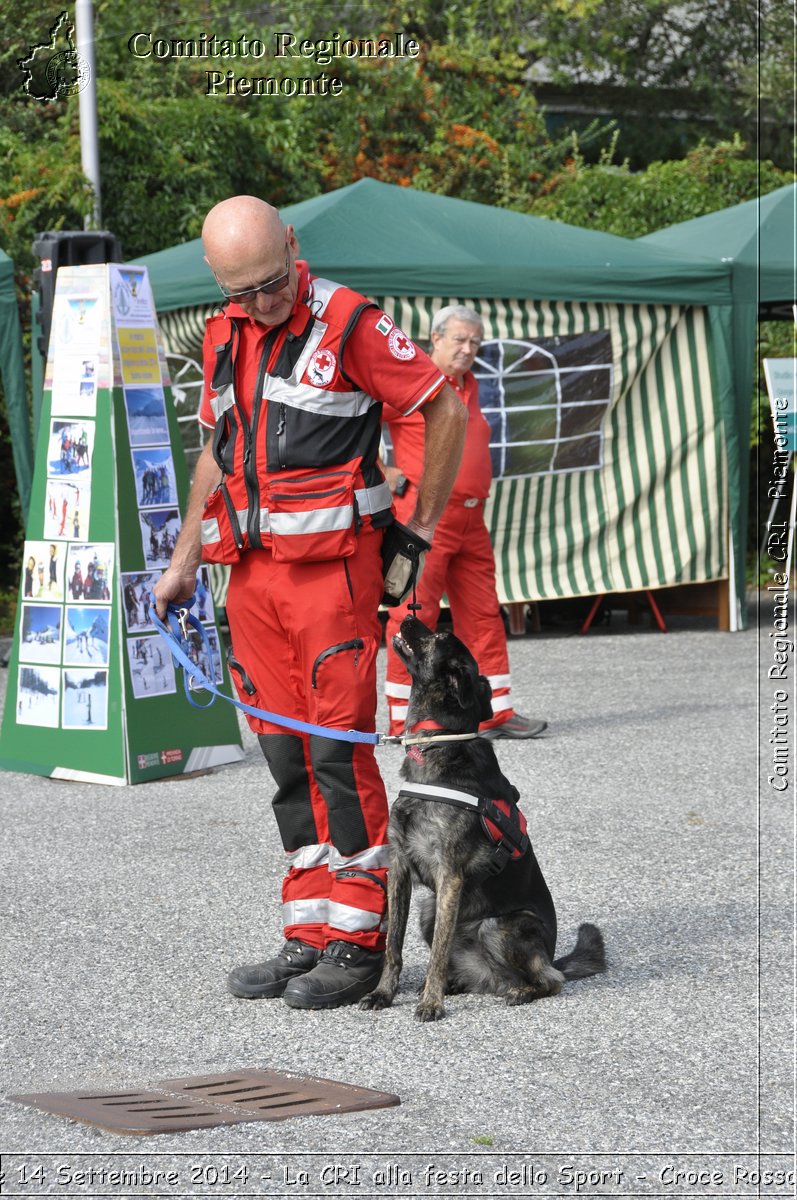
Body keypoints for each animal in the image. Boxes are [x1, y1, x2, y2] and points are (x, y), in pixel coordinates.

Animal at [360, 619, 604, 1022]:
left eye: (441, 637)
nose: (406, 617)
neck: (438, 741)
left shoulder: (450, 876)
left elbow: (437, 953)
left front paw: (431, 1003)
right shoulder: (399, 868)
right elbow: (393, 944)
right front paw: (383, 993)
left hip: (498, 926)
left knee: (550, 981)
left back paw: (518, 990)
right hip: (429, 911)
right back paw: (461, 983)